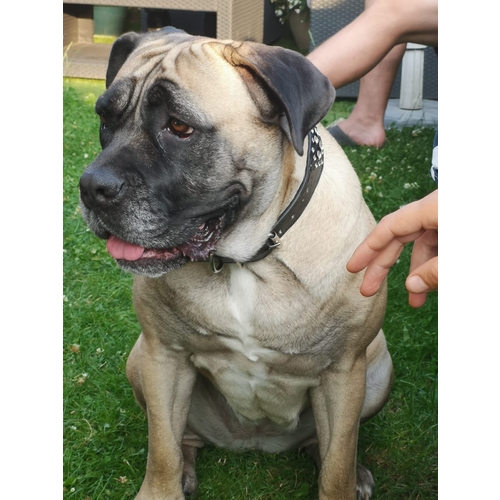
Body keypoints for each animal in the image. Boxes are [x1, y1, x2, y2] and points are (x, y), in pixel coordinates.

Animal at [79, 28, 393, 500]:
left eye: (180, 127)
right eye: (105, 121)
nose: (91, 187)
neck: (246, 261)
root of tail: (254, 440)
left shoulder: (344, 371)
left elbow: (336, 463)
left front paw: (344, 476)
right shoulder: (163, 355)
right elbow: (162, 450)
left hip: (378, 370)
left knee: (329, 446)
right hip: (139, 362)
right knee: (182, 438)